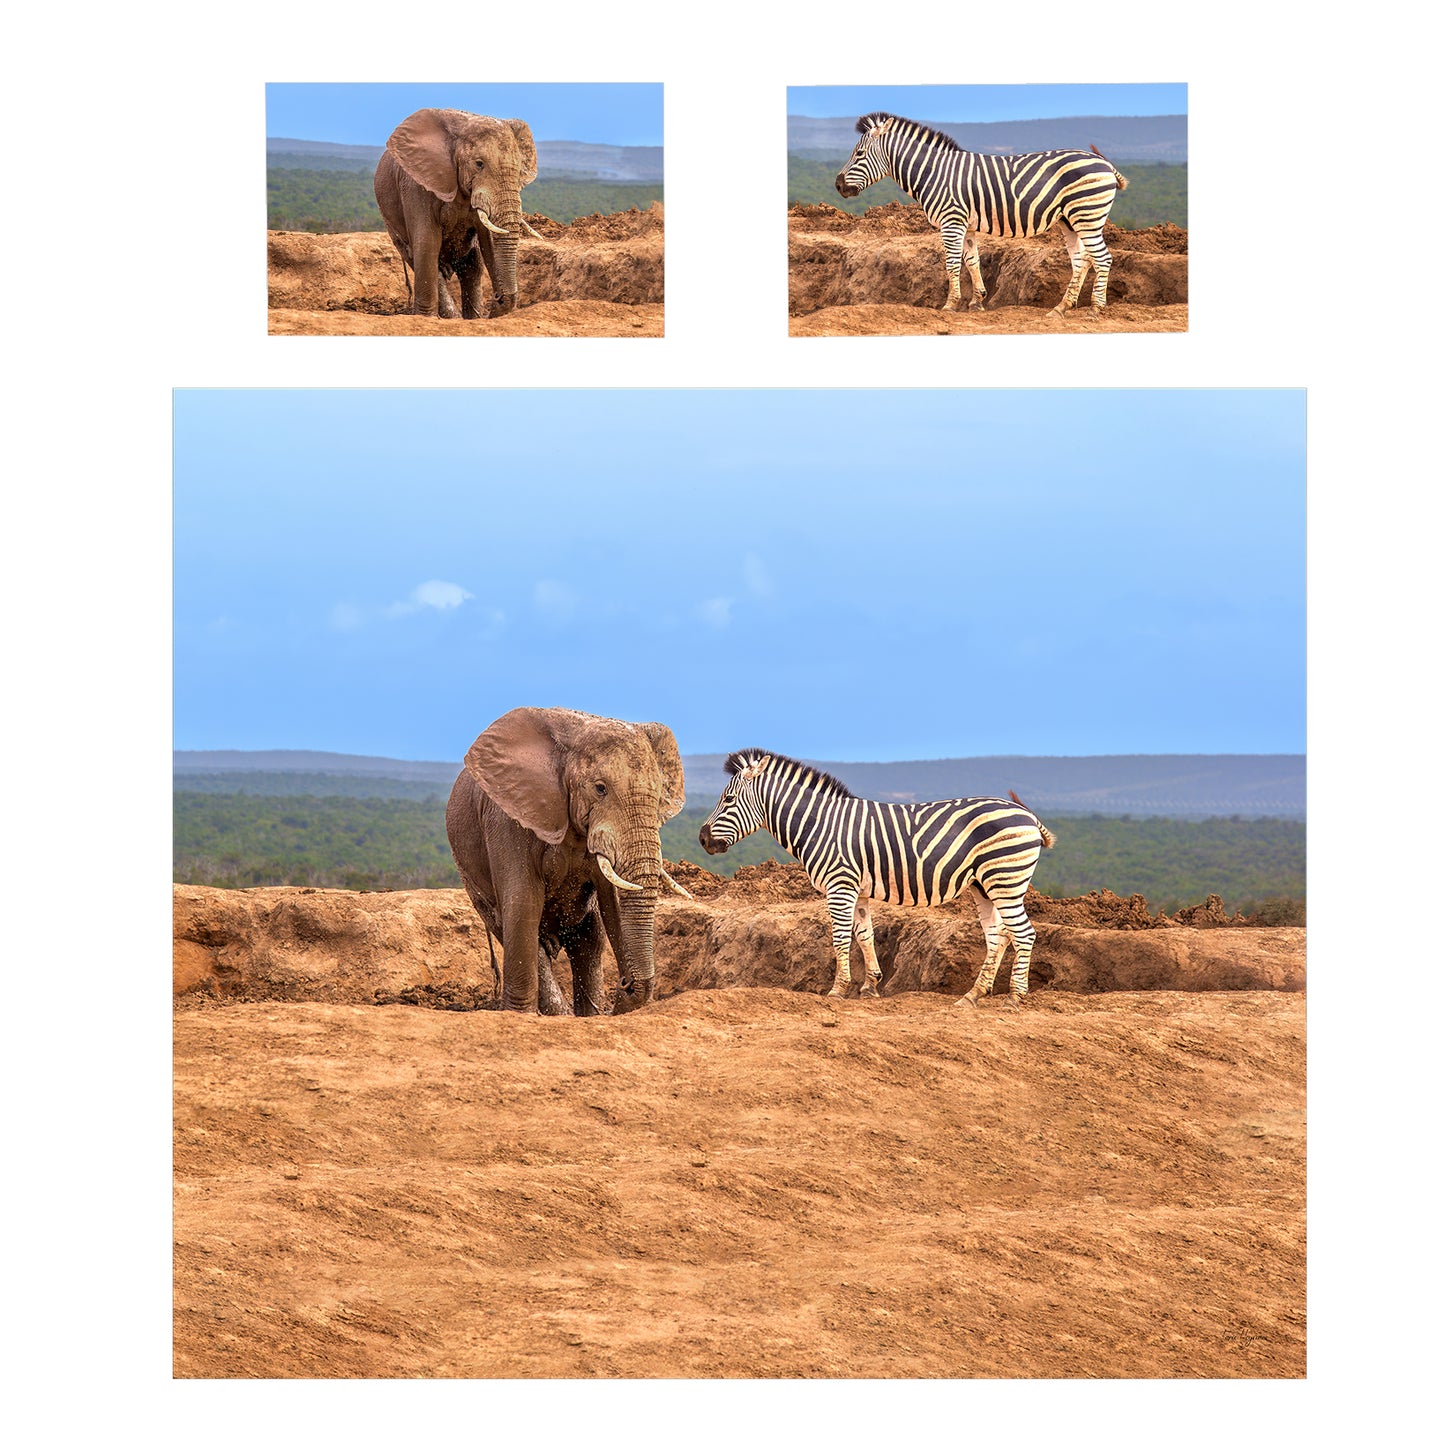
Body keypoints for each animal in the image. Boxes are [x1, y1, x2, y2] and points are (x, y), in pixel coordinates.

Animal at [373, 108, 545, 319]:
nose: (498, 297)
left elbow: (487, 241)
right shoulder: (415, 184)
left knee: (472, 266)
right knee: (419, 258)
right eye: (479, 164)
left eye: (520, 170)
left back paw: (470, 317)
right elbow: (427, 242)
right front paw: (426, 318)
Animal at [445, 707, 696, 1015]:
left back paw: (585, 1013)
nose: (625, 983)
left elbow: (611, 902)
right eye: (600, 788)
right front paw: (519, 1015)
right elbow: (523, 902)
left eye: (660, 795)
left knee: (590, 939)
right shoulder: (506, 817)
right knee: (515, 929)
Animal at [697, 751, 1055, 1006]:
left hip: (1005, 880)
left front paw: (838, 990)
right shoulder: (857, 889)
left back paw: (1014, 997)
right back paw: (973, 996)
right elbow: (865, 935)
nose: (702, 839)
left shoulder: (839, 885)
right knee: (999, 935)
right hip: (984, 885)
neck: (819, 824)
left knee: (1023, 934)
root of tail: (1028, 815)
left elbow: (841, 938)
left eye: (728, 800)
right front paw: (870, 985)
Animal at [835, 112, 1130, 315]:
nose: (838, 185)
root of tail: (1105, 163)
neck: (934, 173)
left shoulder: (951, 221)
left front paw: (950, 305)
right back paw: (1061, 308)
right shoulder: (965, 224)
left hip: (1087, 215)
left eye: (859, 153)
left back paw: (1095, 309)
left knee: (1102, 258)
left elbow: (952, 264)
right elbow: (972, 261)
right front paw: (977, 300)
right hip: (1070, 220)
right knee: (1082, 260)